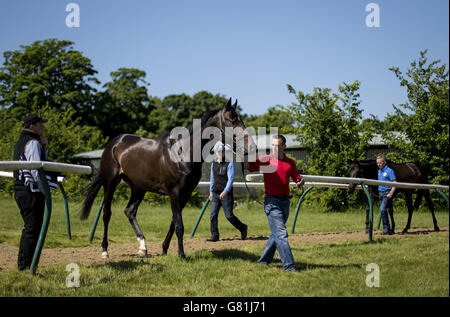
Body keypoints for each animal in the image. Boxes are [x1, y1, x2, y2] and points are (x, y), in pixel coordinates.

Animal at [81, 99, 256, 260]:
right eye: (231, 120)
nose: (251, 147)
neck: (183, 152)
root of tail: (114, 143)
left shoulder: (185, 194)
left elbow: (173, 222)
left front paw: (164, 249)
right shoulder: (174, 193)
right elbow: (179, 225)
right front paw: (182, 255)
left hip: (138, 187)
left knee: (130, 211)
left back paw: (143, 248)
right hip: (110, 183)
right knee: (106, 213)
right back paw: (105, 250)